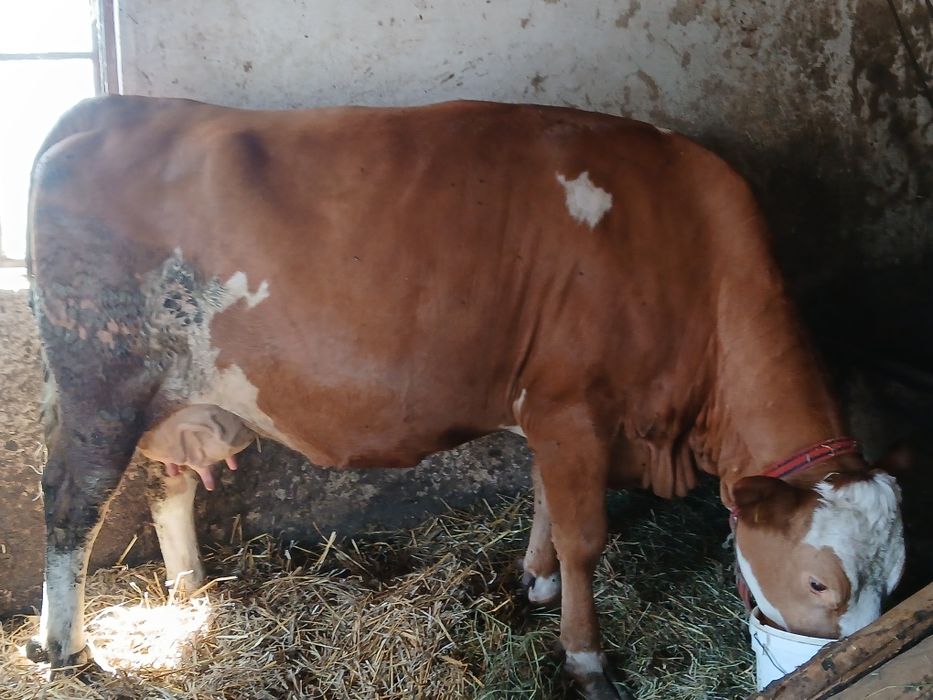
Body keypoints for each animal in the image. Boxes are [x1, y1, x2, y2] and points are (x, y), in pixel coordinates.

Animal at [25, 96, 904, 699]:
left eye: (894, 577)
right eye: (820, 584)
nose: (854, 650)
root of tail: (111, 107)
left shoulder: (552, 414)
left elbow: (546, 503)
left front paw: (534, 583)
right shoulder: (570, 406)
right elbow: (585, 536)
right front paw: (585, 659)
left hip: (170, 397)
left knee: (165, 487)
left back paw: (190, 592)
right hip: (100, 380)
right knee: (71, 505)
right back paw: (68, 647)